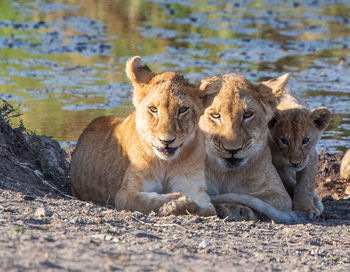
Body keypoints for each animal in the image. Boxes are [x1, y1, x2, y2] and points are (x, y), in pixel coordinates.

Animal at [69, 55, 216, 217]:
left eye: (183, 109)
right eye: (153, 109)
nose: (166, 141)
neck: (166, 164)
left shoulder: (195, 190)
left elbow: (208, 208)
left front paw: (182, 204)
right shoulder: (125, 194)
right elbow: (149, 200)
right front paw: (174, 201)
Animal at [200, 72, 306, 223]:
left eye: (248, 115)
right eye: (215, 115)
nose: (232, 150)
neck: (225, 174)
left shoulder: (279, 194)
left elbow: (253, 199)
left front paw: (237, 209)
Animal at [268, 90, 330, 218]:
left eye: (305, 140)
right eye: (284, 141)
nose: (295, 163)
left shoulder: (310, 157)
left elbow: (305, 184)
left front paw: (306, 208)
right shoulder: (276, 163)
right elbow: (288, 182)